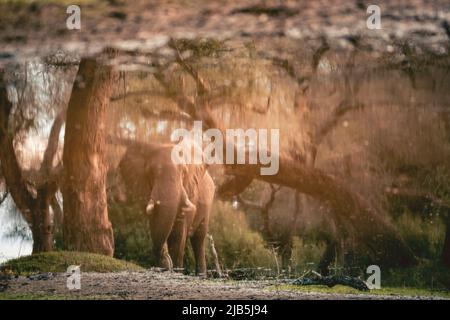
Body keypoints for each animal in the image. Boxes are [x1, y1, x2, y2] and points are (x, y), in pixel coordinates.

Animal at [110, 140, 214, 276]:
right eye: (151, 173)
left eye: (184, 173)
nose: (167, 260)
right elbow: (156, 221)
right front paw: (166, 265)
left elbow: (180, 230)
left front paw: (174, 270)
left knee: (199, 239)